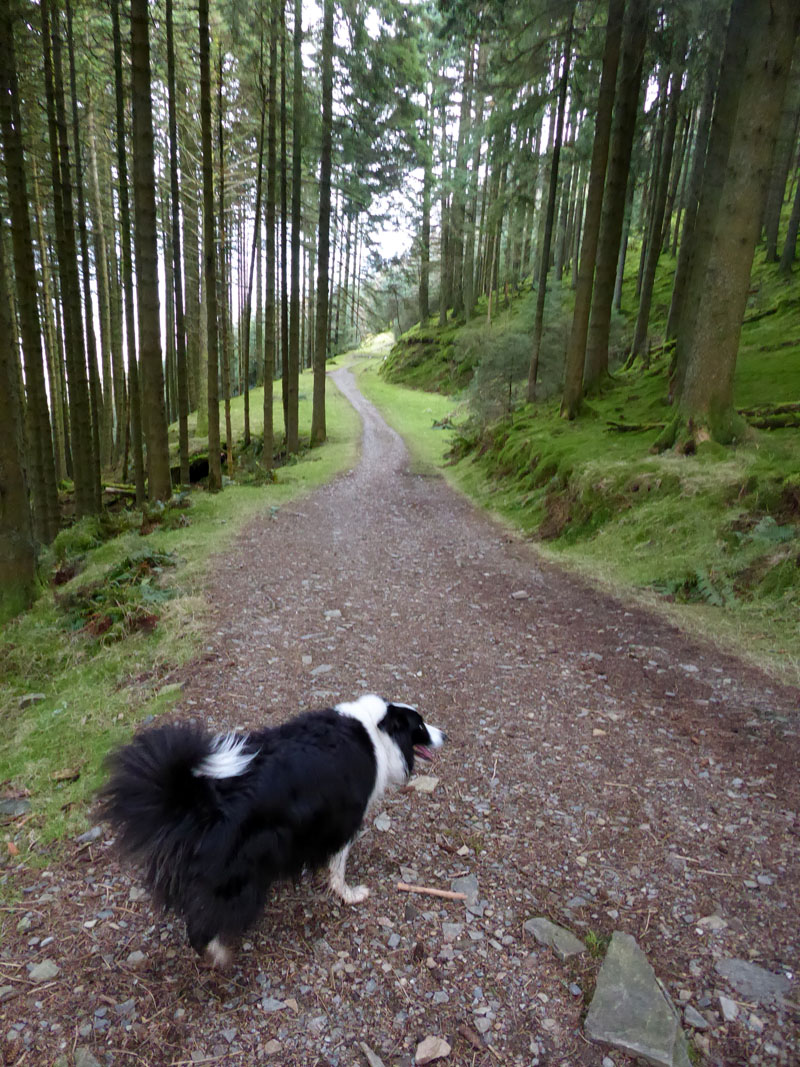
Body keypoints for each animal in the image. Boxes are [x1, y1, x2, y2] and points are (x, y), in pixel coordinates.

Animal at [100, 695, 445, 964]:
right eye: (420, 726)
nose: (445, 735)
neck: (375, 731)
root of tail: (204, 799)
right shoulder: (344, 818)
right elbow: (338, 865)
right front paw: (349, 894)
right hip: (238, 873)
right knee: (202, 924)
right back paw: (219, 955)